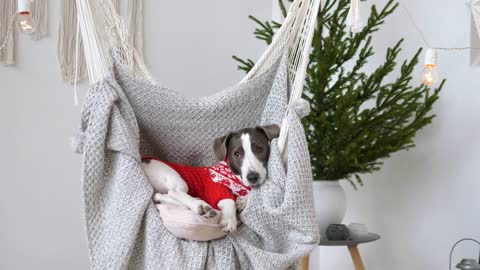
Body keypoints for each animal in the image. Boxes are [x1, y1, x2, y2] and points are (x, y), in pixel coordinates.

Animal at [141, 125, 280, 233]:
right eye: (237, 154)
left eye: (260, 149)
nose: (252, 177)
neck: (234, 176)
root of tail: (143, 161)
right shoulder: (217, 190)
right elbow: (229, 201)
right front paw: (229, 219)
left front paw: (242, 200)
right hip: (173, 176)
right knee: (174, 192)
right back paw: (200, 205)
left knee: (159, 196)